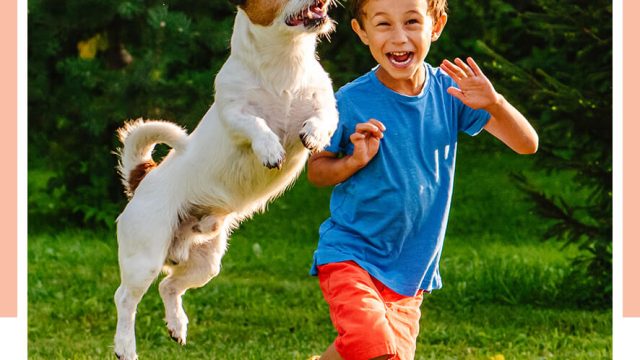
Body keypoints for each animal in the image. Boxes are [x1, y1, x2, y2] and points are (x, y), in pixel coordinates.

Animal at [112, 1, 338, 358]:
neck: (285, 64)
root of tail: (142, 178)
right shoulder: (235, 115)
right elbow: (256, 124)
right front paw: (270, 148)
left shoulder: (326, 105)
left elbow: (323, 118)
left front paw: (313, 135)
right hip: (144, 257)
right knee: (125, 299)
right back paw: (125, 346)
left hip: (206, 263)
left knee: (169, 285)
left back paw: (177, 325)